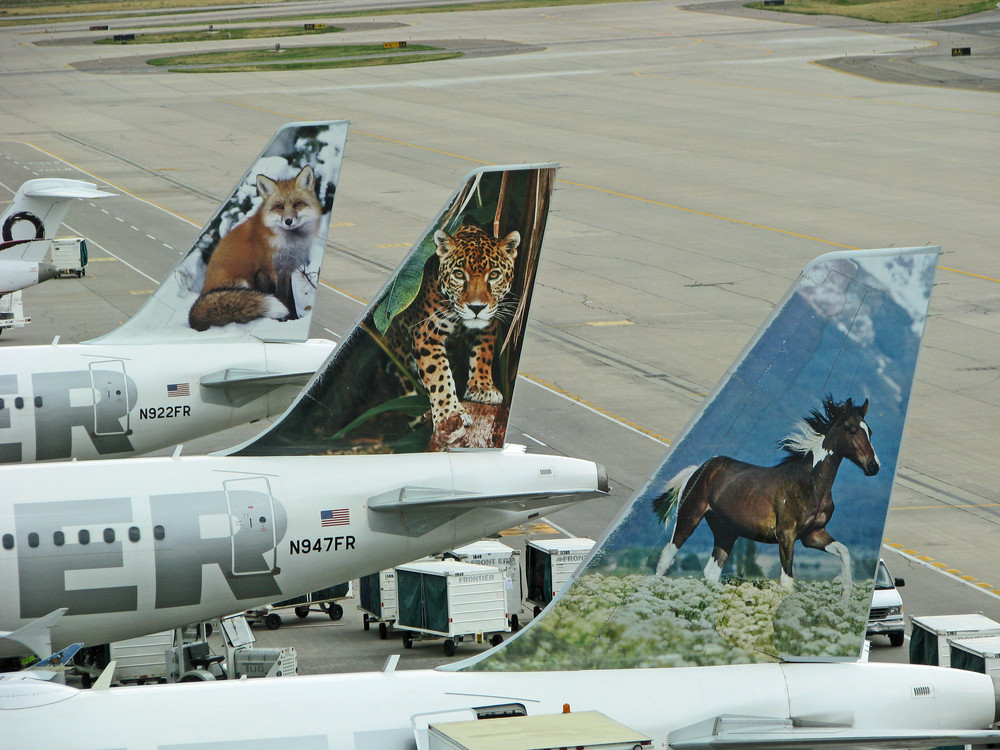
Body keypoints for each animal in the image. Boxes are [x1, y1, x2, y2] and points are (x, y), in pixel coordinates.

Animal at [189, 166, 322, 334]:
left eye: (297, 204)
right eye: (279, 206)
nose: (288, 221)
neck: (287, 241)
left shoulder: (286, 270)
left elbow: (291, 300)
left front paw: (294, 320)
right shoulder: (272, 270)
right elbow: (283, 299)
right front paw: (283, 322)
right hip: (244, 282)